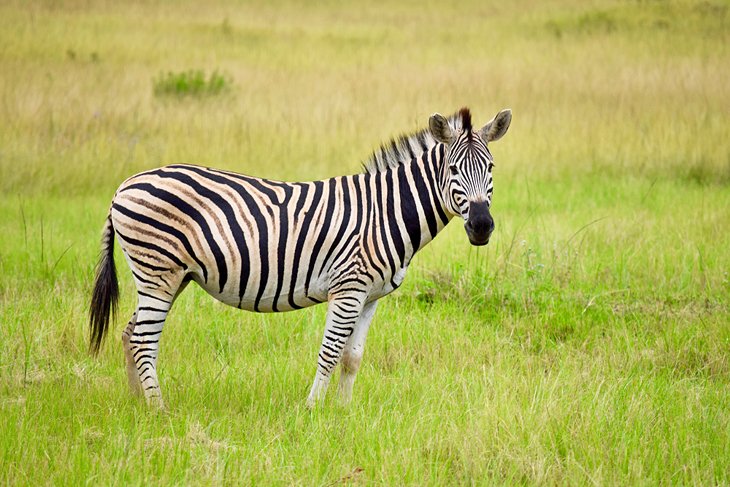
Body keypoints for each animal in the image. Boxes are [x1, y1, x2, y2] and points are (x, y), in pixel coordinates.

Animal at [89, 106, 512, 408]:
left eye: (491, 168)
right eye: (453, 169)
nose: (481, 226)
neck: (385, 211)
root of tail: (124, 186)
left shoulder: (371, 297)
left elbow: (353, 357)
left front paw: (344, 413)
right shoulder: (348, 289)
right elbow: (330, 352)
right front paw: (311, 410)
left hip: (170, 277)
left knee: (129, 334)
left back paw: (137, 406)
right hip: (158, 272)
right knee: (143, 340)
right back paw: (159, 411)